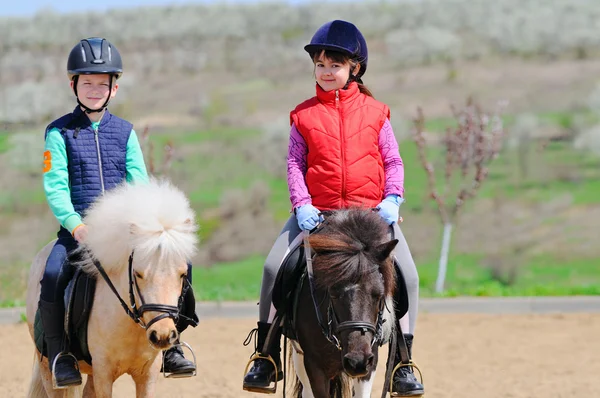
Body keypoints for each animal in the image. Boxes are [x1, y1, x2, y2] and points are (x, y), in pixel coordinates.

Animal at [26, 180, 199, 398]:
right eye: (138, 274)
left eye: (182, 274)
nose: (161, 335)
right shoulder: (103, 372)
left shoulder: (148, 373)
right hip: (49, 370)